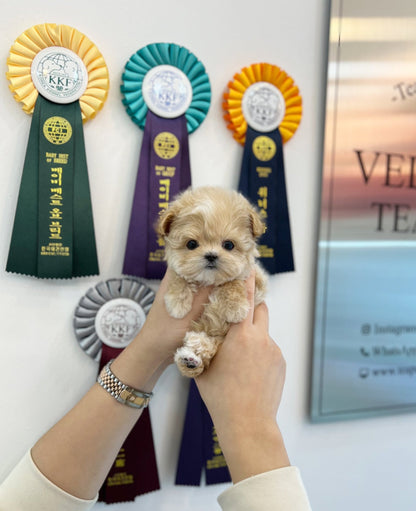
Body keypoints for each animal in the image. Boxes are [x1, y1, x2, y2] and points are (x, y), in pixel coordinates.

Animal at [158, 186, 268, 378]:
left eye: (229, 245)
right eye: (191, 244)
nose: (210, 255)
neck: (209, 281)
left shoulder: (258, 282)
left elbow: (233, 281)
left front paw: (235, 308)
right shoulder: (176, 271)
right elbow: (178, 276)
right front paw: (177, 303)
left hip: (218, 340)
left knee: (208, 349)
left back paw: (193, 355)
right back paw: (188, 360)